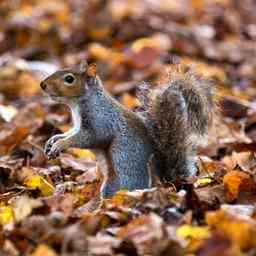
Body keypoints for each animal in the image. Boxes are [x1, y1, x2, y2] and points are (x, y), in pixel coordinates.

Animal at [41, 61, 215, 197]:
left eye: (69, 79)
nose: (43, 85)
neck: (79, 103)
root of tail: (162, 184)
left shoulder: (102, 121)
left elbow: (89, 138)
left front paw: (60, 145)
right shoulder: (77, 125)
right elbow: (70, 133)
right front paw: (53, 140)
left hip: (119, 182)